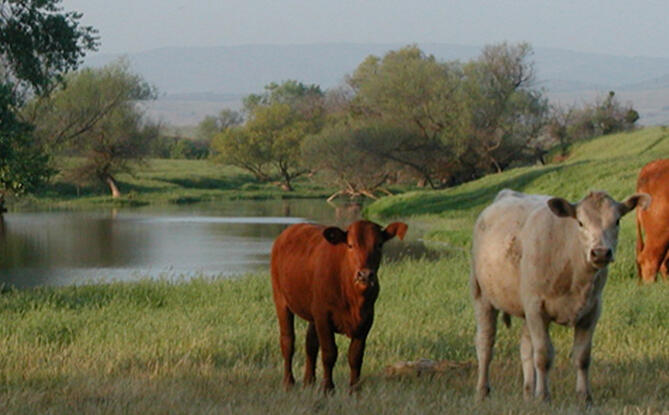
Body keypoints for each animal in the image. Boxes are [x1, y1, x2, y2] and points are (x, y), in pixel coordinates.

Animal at [270, 219, 408, 393]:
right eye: (350, 245)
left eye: (379, 244)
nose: (365, 275)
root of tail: (291, 229)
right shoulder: (323, 316)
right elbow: (329, 353)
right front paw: (328, 388)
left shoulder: (367, 319)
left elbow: (355, 356)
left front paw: (354, 389)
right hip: (281, 299)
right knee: (288, 341)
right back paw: (288, 382)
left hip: (312, 311)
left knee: (310, 344)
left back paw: (309, 381)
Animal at [470, 189, 650, 403]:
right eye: (580, 222)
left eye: (617, 221)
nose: (600, 253)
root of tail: (507, 194)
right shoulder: (537, 308)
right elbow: (543, 355)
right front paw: (544, 397)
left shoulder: (592, 311)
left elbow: (582, 356)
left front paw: (584, 397)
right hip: (482, 295)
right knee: (485, 343)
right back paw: (482, 391)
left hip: (525, 310)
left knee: (525, 348)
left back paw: (528, 393)